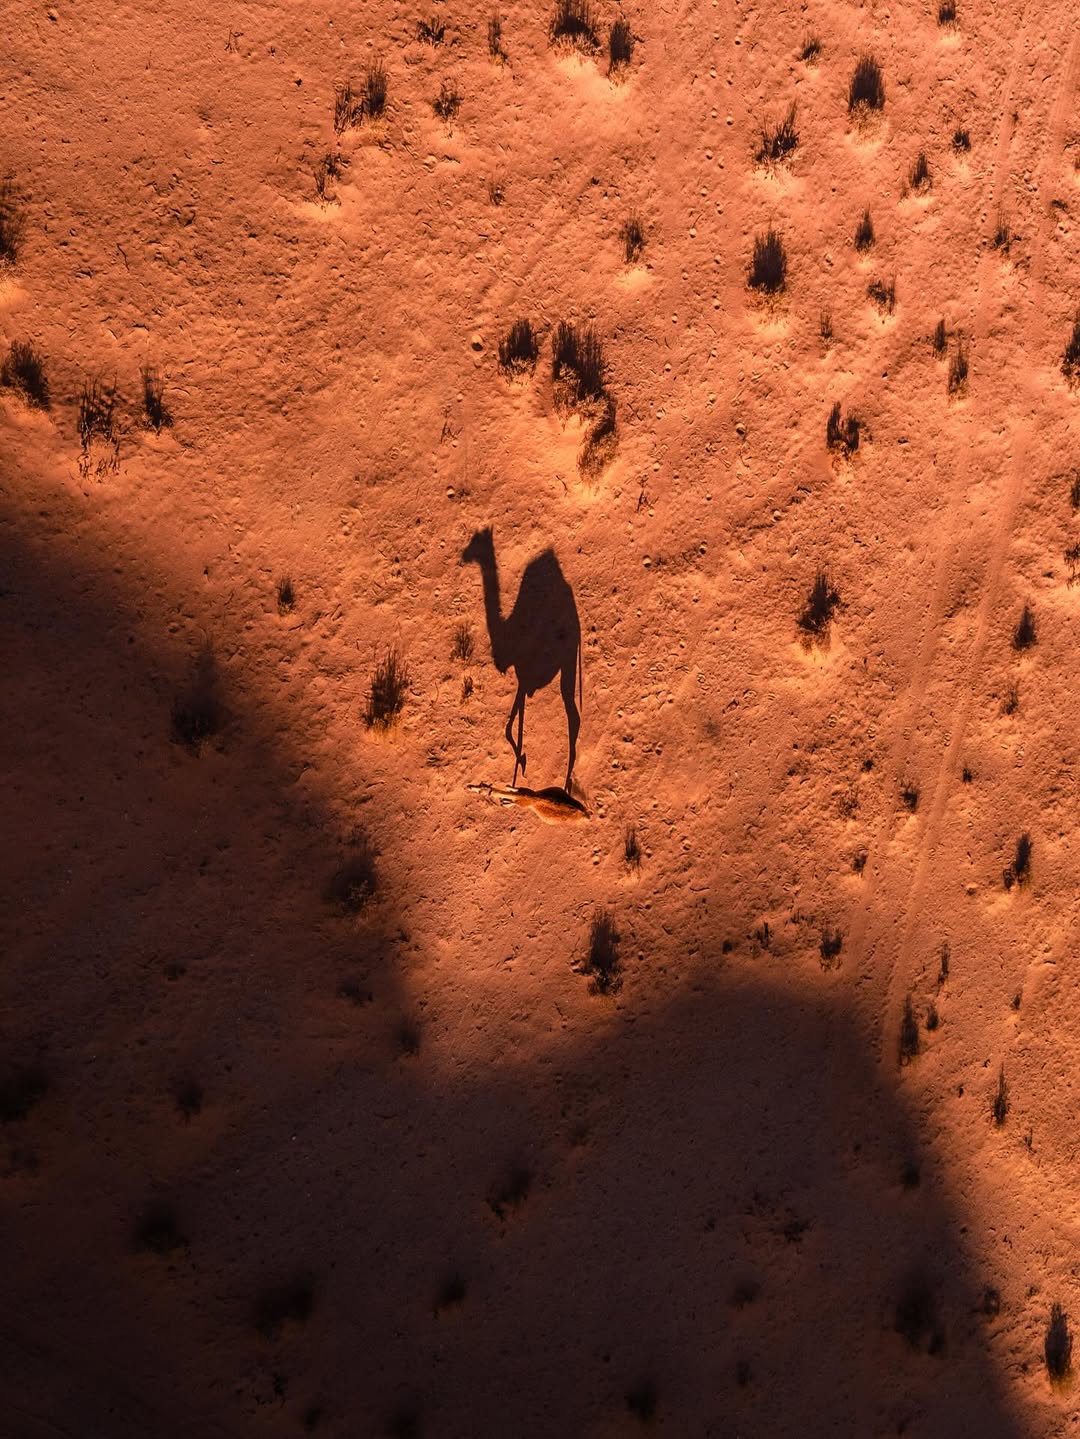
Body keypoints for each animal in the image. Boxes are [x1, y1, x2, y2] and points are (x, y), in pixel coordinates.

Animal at [461, 526, 581, 791]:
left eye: (476, 542)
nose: (461, 557)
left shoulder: (523, 677)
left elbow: (511, 728)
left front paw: (520, 771)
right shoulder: (523, 681)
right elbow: (511, 727)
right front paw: (518, 773)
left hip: (568, 664)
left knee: (574, 718)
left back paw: (565, 787)